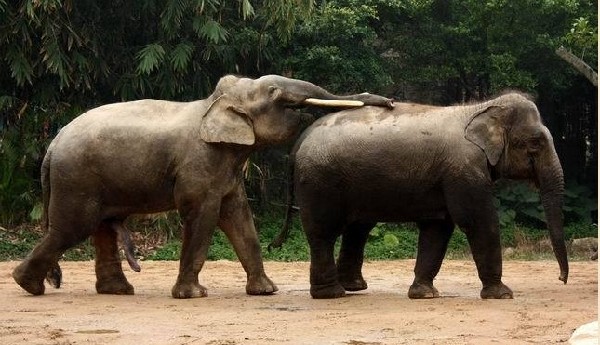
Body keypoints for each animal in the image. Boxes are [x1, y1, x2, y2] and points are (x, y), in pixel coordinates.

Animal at [11, 74, 394, 296]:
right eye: (275, 93)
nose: (388, 101)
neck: (215, 104)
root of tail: (53, 144)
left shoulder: (227, 170)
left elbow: (239, 218)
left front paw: (265, 291)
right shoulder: (200, 164)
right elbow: (204, 215)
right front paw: (193, 294)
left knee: (100, 227)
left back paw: (117, 291)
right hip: (77, 177)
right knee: (72, 228)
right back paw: (27, 285)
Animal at [286, 92, 568, 298]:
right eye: (535, 143)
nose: (561, 278)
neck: (480, 108)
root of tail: (301, 138)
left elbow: (437, 228)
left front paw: (424, 294)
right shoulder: (463, 169)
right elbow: (477, 220)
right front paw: (502, 295)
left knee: (358, 229)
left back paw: (353, 288)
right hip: (320, 181)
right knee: (324, 232)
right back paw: (332, 294)